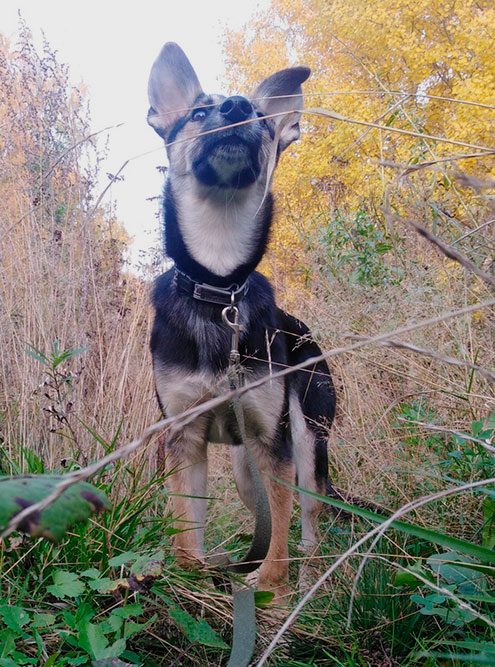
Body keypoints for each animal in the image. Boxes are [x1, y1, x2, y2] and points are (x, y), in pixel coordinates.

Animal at [145, 43, 336, 596]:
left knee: (307, 519)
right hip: (245, 468)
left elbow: (278, 545)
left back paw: (310, 576)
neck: (219, 286)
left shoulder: (273, 441)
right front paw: (190, 575)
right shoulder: (184, 436)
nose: (236, 108)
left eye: (262, 119)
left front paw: (269, 590)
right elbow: (186, 526)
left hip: (305, 440)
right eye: (197, 113)